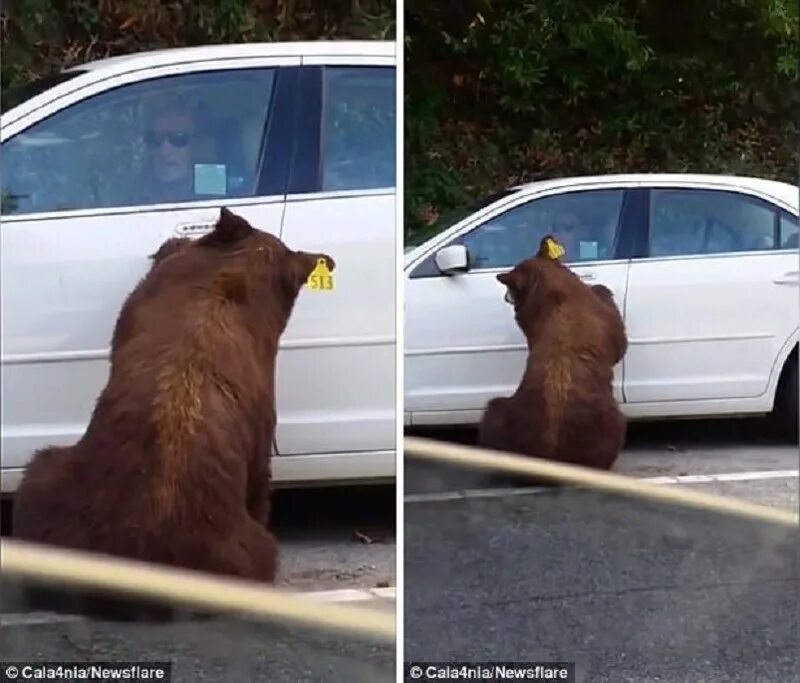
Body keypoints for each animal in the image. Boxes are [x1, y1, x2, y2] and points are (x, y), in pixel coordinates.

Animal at [478, 235, 628, 480]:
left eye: (510, 286)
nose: (506, 296)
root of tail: (548, 454)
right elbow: (619, 339)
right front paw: (601, 288)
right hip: (602, 423)